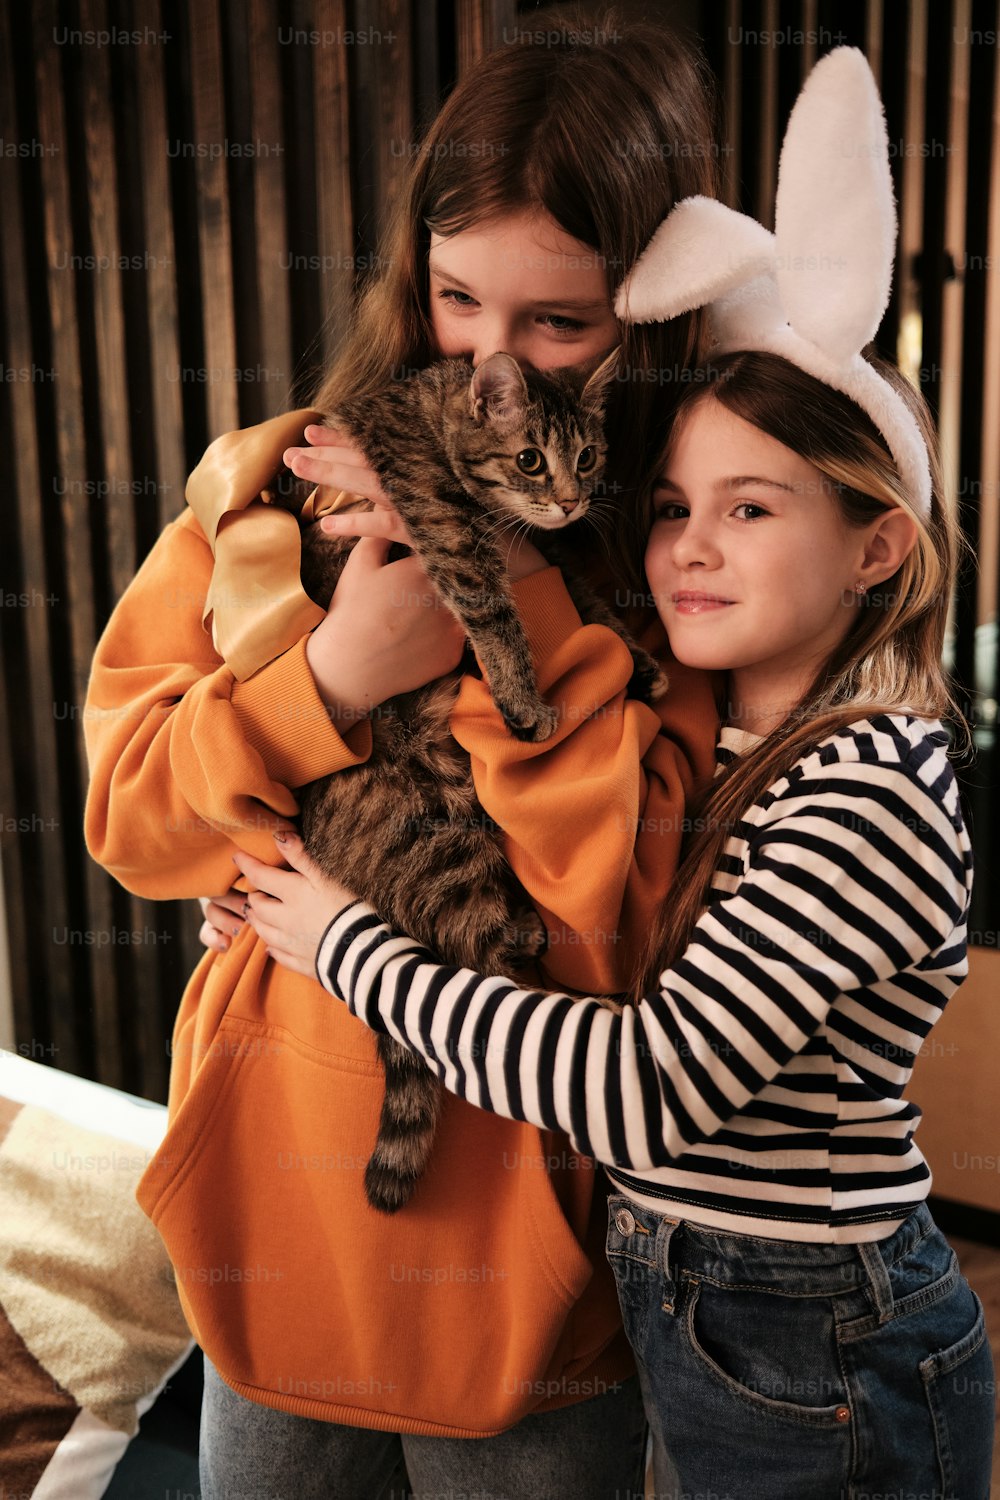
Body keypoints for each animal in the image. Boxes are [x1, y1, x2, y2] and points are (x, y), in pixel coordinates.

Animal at [280, 354, 665, 1218]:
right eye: (529, 460)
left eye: (587, 455)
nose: (570, 500)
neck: (431, 409)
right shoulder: (447, 527)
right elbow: (496, 614)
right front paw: (524, 699)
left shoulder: (547, 555)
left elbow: (582, 593)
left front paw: (639, 656)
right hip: (439, 842)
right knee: (473, 996)